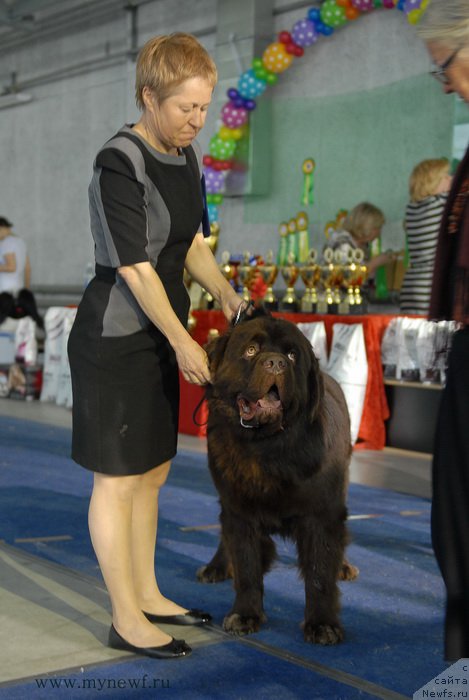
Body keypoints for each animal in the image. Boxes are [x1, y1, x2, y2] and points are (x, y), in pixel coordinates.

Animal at [196, 308, 356, 644]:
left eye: (292, 356)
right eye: (251, 350)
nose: (275, 363)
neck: (267, 447)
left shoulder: (322, 513)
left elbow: (321, 571)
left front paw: (322, 623)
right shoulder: (239, 510)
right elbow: (246, 566)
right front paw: (245, 614)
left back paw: (344, 567)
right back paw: (216, 566)